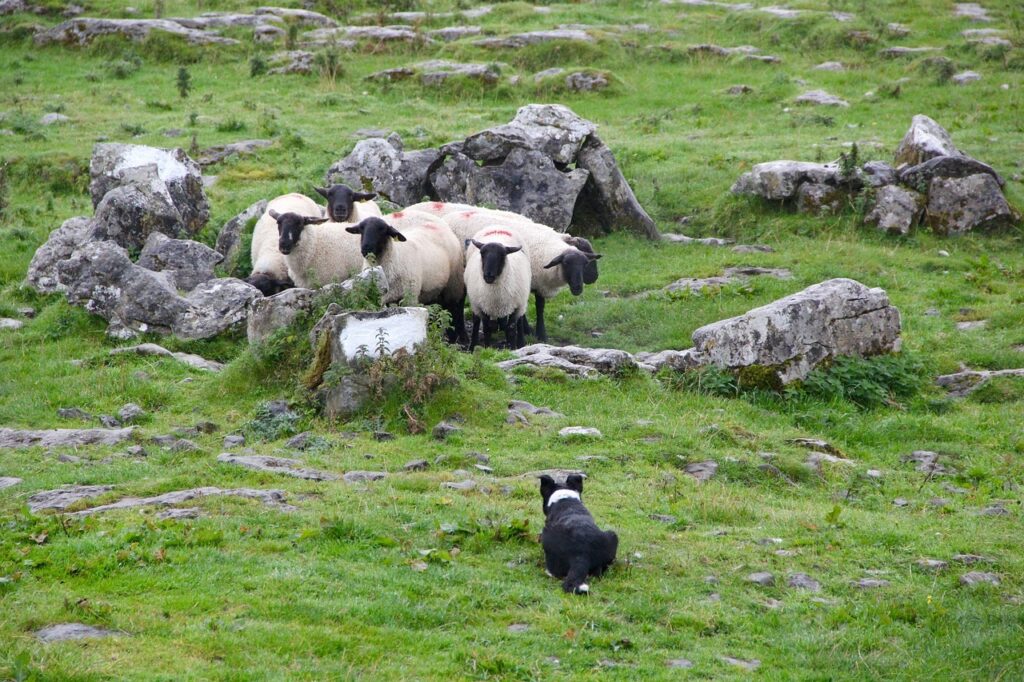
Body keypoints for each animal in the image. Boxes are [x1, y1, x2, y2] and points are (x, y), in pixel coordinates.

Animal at [345, 210, 467, 342]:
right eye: (361, 229)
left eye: (382, 230)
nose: (366, 248)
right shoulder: (384, 298)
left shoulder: (410, 298)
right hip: (432, 291)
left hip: (454, 284)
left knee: (456, 310)